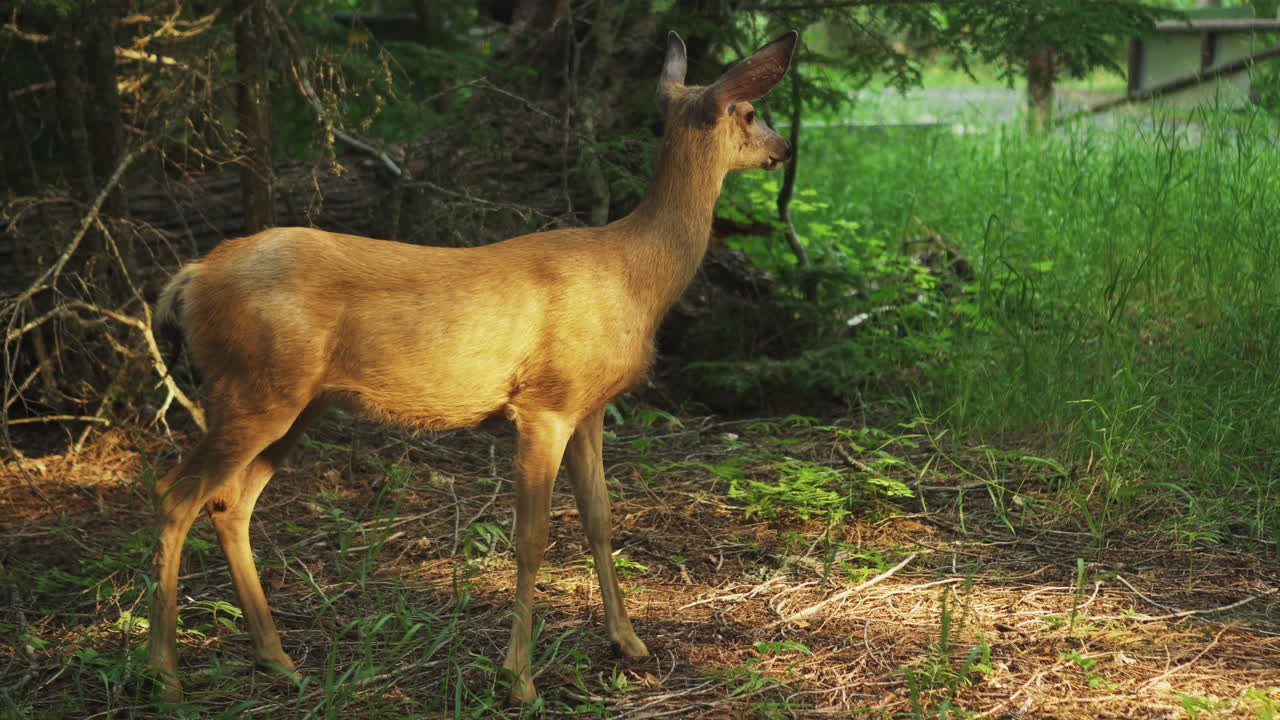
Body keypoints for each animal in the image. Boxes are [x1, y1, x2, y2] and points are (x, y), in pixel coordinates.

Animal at [146, 29, 797, 704]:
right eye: (751, 112)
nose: (785, 147)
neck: (638, 274)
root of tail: (191, 277)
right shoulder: (544, 404)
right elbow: (532, 539)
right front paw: (519, 679)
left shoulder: (588, 407)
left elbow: (599, 518)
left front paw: (628, 641)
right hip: (251, 391)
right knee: (175, 495)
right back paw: (164, 673)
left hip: (293, 403)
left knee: (229, 503)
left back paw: (277, 661)